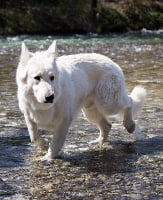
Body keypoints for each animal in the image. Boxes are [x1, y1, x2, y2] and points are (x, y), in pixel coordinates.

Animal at [16, 41, 146, 160]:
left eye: (52, 77)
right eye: (37, 78)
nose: (50, 97)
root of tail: (112, 62)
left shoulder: (64, 122)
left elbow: (55, 143)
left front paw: (48, 158)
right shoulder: (29, 116)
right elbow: (33, 136)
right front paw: (43, 146)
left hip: (108, 103)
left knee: (129, 102)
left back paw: (130, 125)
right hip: (90, 112)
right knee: (107, 125)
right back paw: (98, 142)